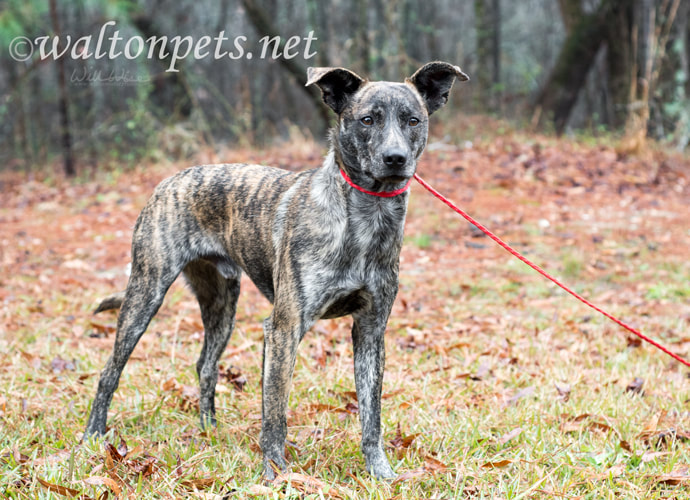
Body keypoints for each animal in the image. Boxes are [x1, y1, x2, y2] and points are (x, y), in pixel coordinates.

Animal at [83, 62, 464, 480]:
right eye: (367, 120)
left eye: (413, 120)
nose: (395, 158)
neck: (366, 217)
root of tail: (169, 180)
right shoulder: (284, 328)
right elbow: (276, 412)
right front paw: (276, 474)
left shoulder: (370, 331)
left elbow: (371, 414)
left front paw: (380, 473)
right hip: (145, 294)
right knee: (109, 371)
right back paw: (93, 435)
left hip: (222, 305)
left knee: (205, 366)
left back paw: (209, 429)